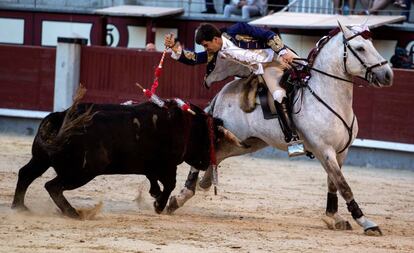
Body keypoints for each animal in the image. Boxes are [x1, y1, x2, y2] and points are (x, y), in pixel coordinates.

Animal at [12, 100, 233, 217]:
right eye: (211, 139)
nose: (207, 163)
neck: (185, 125)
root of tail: (61, 116)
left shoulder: (150, 166)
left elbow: (153, 179)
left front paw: (154, 195)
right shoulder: (168, 165)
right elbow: (169, 184)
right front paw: (159, 206)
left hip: (41, 160)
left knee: (26, 174)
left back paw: (20, 207)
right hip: (83, 171)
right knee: (52, 186)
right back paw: (74, 213)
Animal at [167, 22, 392, 236]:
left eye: (372, 44)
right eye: (360, 48)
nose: (388, 74)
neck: (327, 95)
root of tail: (220, 94)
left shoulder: (341, 152)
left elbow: (333, 183)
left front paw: (333, 217)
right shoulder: (324, 150)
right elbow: (344, 185)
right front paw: (366, 222)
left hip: (247, 143)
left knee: (217, 156)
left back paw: (196, 187)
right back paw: (181, 196)